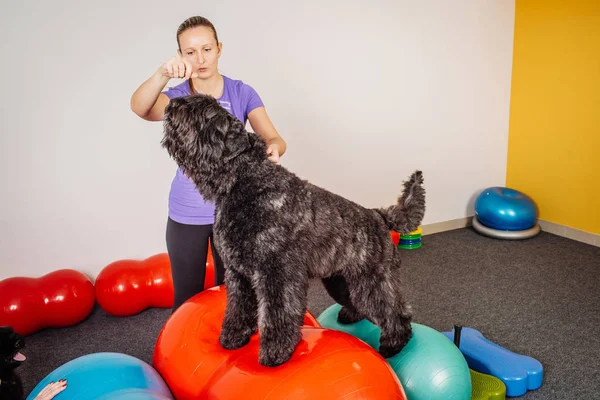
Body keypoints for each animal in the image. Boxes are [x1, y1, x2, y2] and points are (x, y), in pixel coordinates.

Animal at [162, 93, 424, 366]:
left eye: (208, 113)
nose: (172, 104)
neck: (246, 182)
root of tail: (379, 215)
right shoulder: (238, 273)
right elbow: (237, 307)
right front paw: (233, 336)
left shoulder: (277, 273)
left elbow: (277, 312)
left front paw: (276, 351)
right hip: (341, 280)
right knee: (361, 303)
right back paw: (351, 316)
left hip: (372, 280)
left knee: (395, 311)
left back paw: (394, 343)